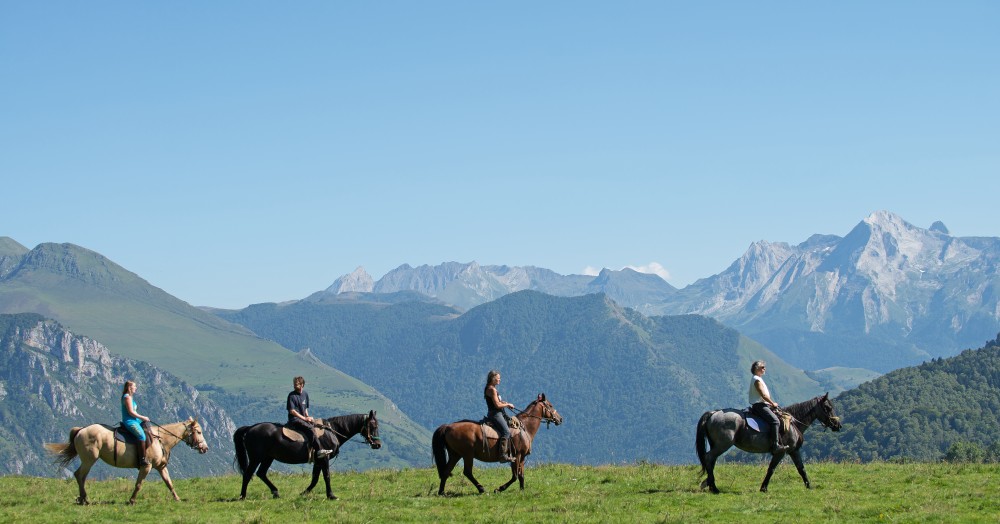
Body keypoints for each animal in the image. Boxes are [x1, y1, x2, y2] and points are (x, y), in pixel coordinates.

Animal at [45, 418, 209, 504]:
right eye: (199, 432)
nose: (205, 448)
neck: (160, 439)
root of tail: (81, 430)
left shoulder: (161, 467)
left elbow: (169, 483)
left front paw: (177, 498)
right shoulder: (146, 466)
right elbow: (139, 484)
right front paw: (131, 500)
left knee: (80, 476)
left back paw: (82, 498)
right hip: (89, 459)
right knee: (80, 475)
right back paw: (84, 499)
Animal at [234, 410, 382, 500]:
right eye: (373, 425)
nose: (378, 445)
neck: (332, 432)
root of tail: (250, 428)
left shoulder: (318, 460)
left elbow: (315, 478)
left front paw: (304, 492)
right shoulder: (324, 458)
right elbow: (326, 476)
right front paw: (331, 495)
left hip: (268, 457)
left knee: (261, 473)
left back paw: (275, 492)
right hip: (256, 457)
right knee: (248, 474)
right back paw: (242, 496)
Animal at [432, 392, 564, 496]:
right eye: (550, 405)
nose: (560, 419)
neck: (525, 427)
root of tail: (448, 427)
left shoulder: (521, 457)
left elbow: (521, 475)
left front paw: (522, 490)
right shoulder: (516, 456)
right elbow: (515, 476)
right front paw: (499, 489)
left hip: (455, 454)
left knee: (446, 471)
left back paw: (441, 492)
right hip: (467, 455)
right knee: (467, 472)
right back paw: (481, 489)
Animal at [696, 396, 844, 494]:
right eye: (828, 408)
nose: (838, 425)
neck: (793, 423)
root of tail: (713, 413)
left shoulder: (794, 451)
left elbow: (801, 469)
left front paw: (809, 486)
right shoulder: (780, 452)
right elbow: (771, 469)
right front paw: (763, 488)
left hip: (716, 445)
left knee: (711, 461)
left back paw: (709, 484)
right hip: (722, 445)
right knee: (709, 458)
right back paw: (714, 487)